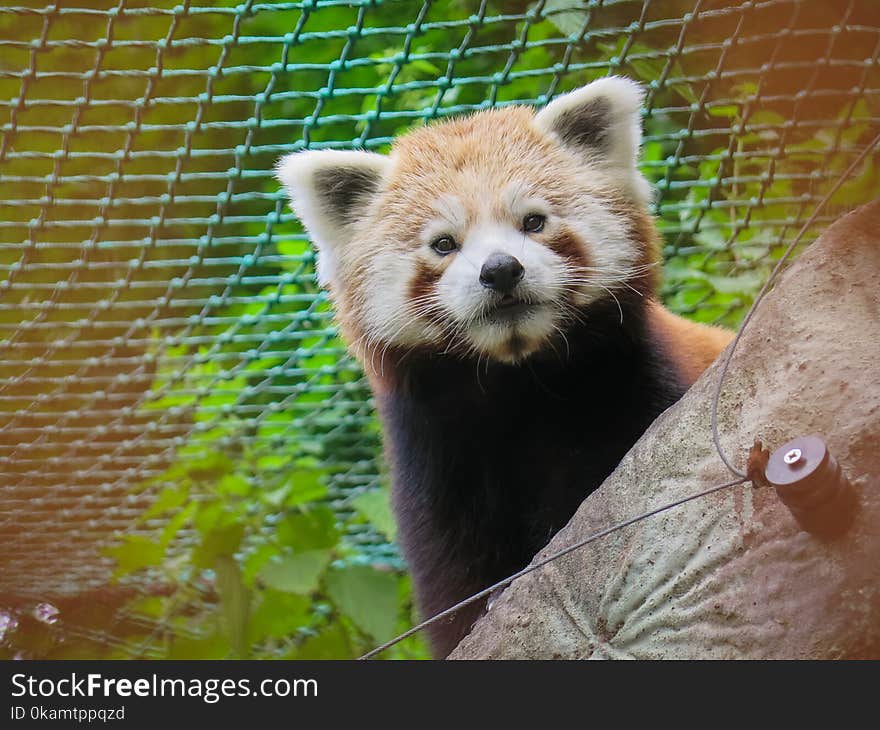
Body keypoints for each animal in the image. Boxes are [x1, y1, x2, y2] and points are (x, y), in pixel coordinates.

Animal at [278, 78, 732, 656]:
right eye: (443, 243)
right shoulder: (437, 457)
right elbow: (453, 573)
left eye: (533, 222)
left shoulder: (635, 391)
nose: (499, 270)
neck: (518, 380)